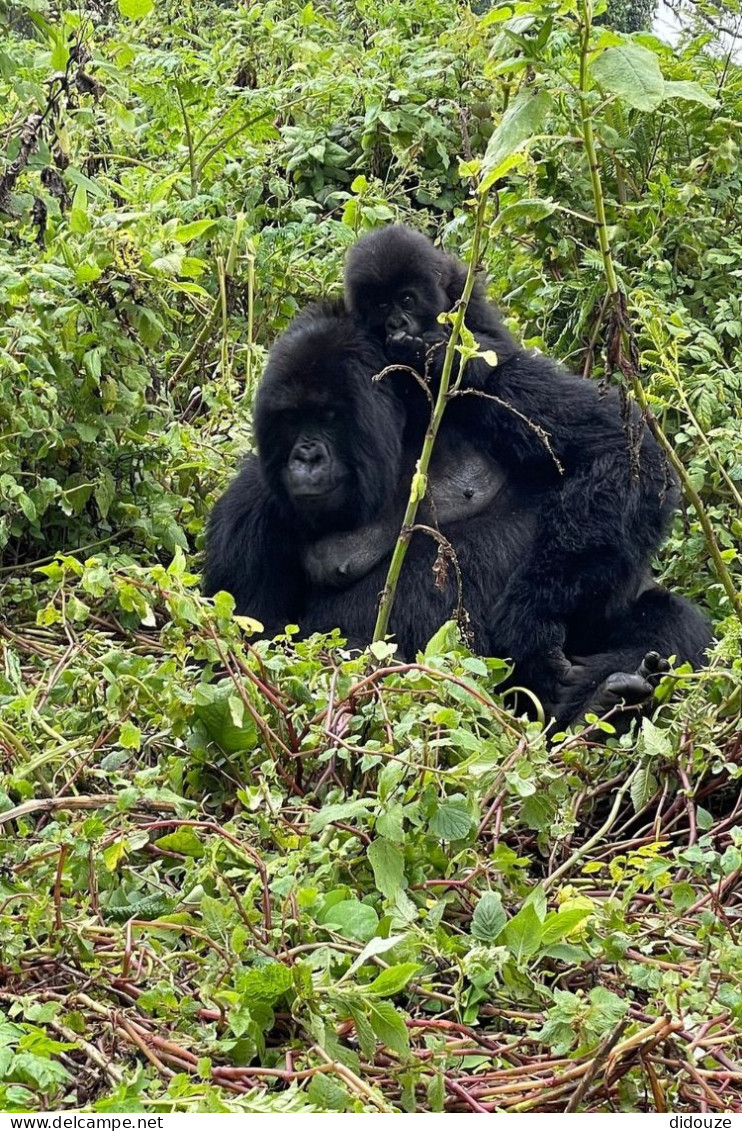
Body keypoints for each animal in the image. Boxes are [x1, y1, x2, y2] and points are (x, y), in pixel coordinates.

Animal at [341, 225, 714, 710]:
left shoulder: (487, 364)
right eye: (380, 307)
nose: (395, 327)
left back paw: (607, 696)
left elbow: (622, 451)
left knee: (673, 618)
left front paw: (529, 621)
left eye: (406, 300)